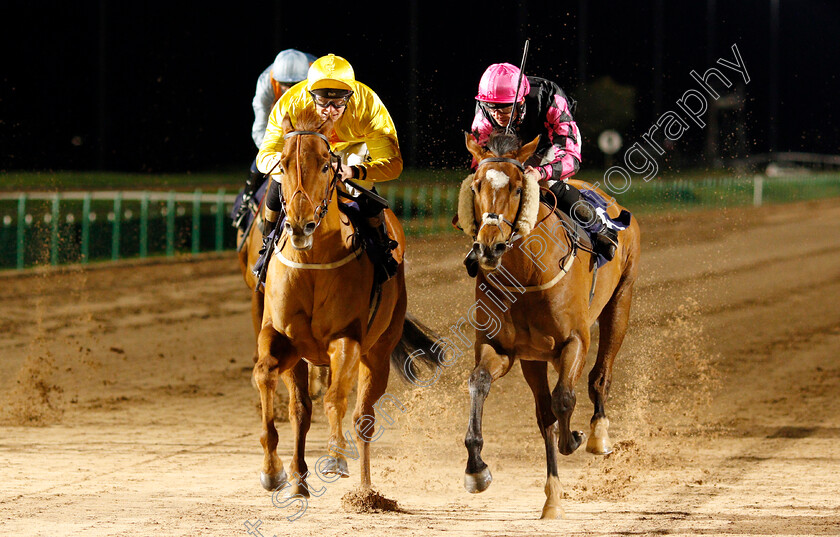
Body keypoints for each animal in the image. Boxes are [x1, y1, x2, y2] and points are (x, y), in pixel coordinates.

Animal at [254, 108, 442, 494]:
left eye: (327, 165)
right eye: (282, 162)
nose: (300, 225)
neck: (312, 261)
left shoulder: (347, 339)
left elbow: (335, 398)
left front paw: (336, 459)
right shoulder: (282, 337)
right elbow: (266, 375)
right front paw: (273, 470)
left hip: (379, 352)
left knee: (363, 418)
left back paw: (367, 492)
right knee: (301, 409)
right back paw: (299, 480)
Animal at [460, 131, 644, 520]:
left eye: (517, 187)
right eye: (477, 185)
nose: (489, 247)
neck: (528, 275)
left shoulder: (575, 341)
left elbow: (565, 398)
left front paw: (574, 437)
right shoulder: (502, 349)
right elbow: (479, 382)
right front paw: (476, 468)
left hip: (621, 301)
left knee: (600, 375)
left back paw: (597, 434)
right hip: (533, 358)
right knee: (543, 413)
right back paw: (552, 497)